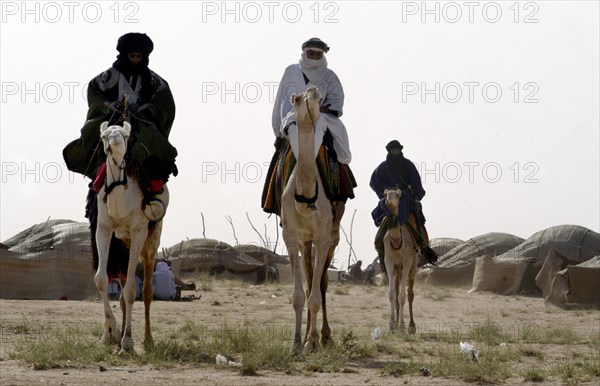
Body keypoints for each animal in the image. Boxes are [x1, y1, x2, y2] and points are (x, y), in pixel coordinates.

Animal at [94, 121, 169, 352]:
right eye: (104, 136)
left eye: (126, 135)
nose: (114, 141)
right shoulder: (103, 228)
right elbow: (101, 279)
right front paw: (110, 333)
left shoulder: (138, 230)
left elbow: (131, 291)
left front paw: (127, 342)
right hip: (123, 246)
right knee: (122, 292)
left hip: (151, 243)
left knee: (147, 292)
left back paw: (148, 340)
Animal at [382, 188, 420, 334]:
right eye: (386, 194)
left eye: (397, 195)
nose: (388, 201)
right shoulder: (388, 260)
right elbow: (392, 294)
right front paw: (392, 324)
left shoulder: (407, 261)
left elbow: (403, 296)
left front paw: (403, 326)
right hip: (397, 267)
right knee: (397, 290)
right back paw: (397, 323)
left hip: (412, 264)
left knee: (410, 294)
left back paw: (411, 326)